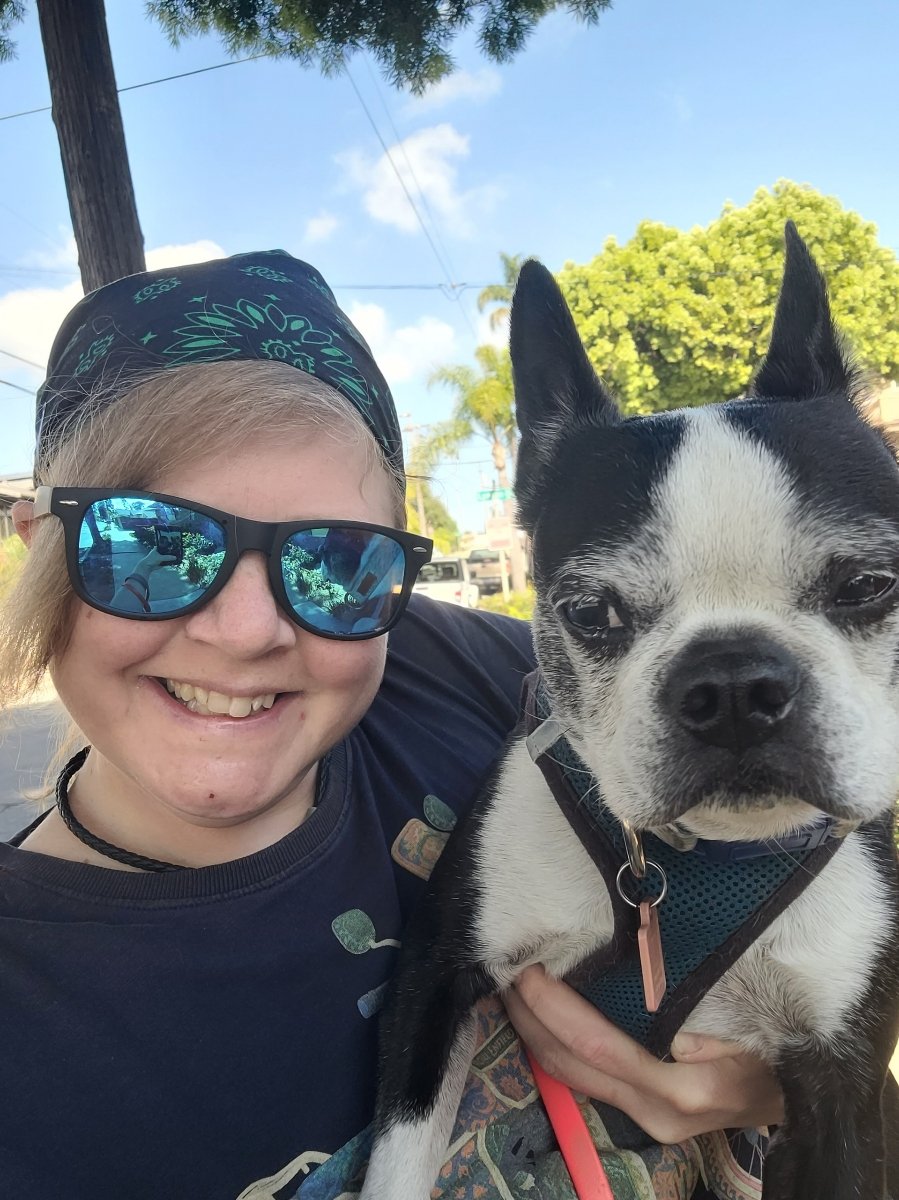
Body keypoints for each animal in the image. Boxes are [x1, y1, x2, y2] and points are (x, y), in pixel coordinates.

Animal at [361, 224, 899, 1199]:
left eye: (867, 585)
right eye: (590, 613)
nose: (733, 687)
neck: (695, 860)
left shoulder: (842, 1090)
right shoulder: (433, 978)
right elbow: (399, 1160)